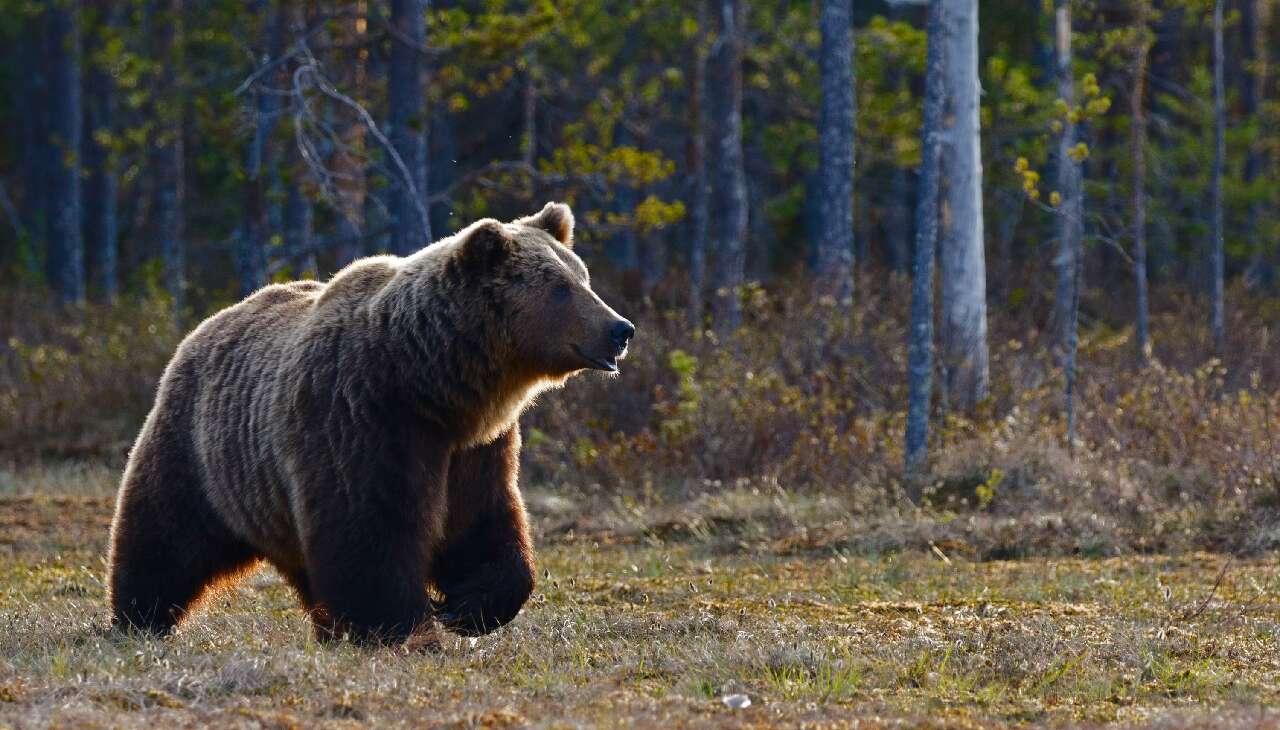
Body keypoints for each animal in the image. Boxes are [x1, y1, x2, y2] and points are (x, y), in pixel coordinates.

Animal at [107, 202, 633, 643]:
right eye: (560, 288)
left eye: (583, 277)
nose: (620, 328)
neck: (431, 384)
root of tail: (205, 326)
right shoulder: (362, 419)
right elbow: (369, 529)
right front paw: (402, 626)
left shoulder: (476, 448)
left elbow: (482, 522)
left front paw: (467, 606)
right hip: (201, 450)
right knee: (164, 534)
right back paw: (139, 617)